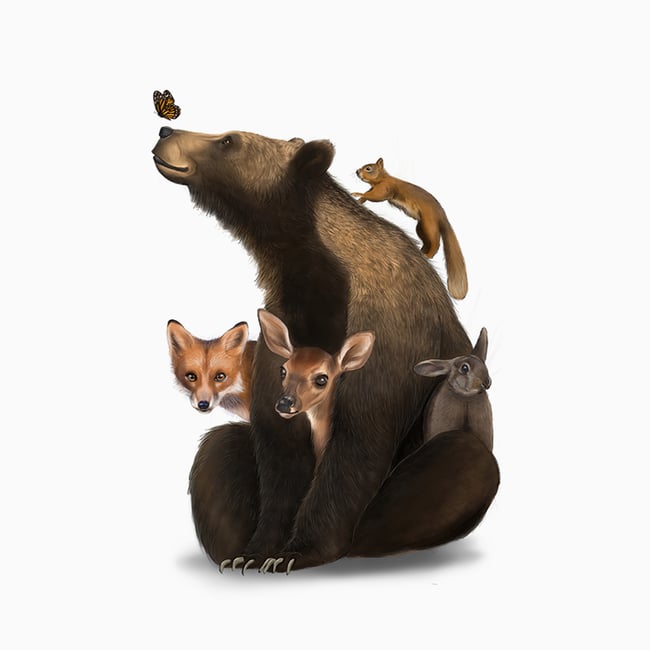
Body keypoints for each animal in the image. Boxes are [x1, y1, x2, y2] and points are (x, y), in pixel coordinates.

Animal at [152, 126, 500, 571]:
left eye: (229, 140)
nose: (166, 130)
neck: (316, 269)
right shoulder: (283, 328)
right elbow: (278, 449)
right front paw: (255, 551)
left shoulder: (384, 333)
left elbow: (357, 442)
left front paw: (296, 551)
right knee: (219, 447)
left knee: (461, 457)